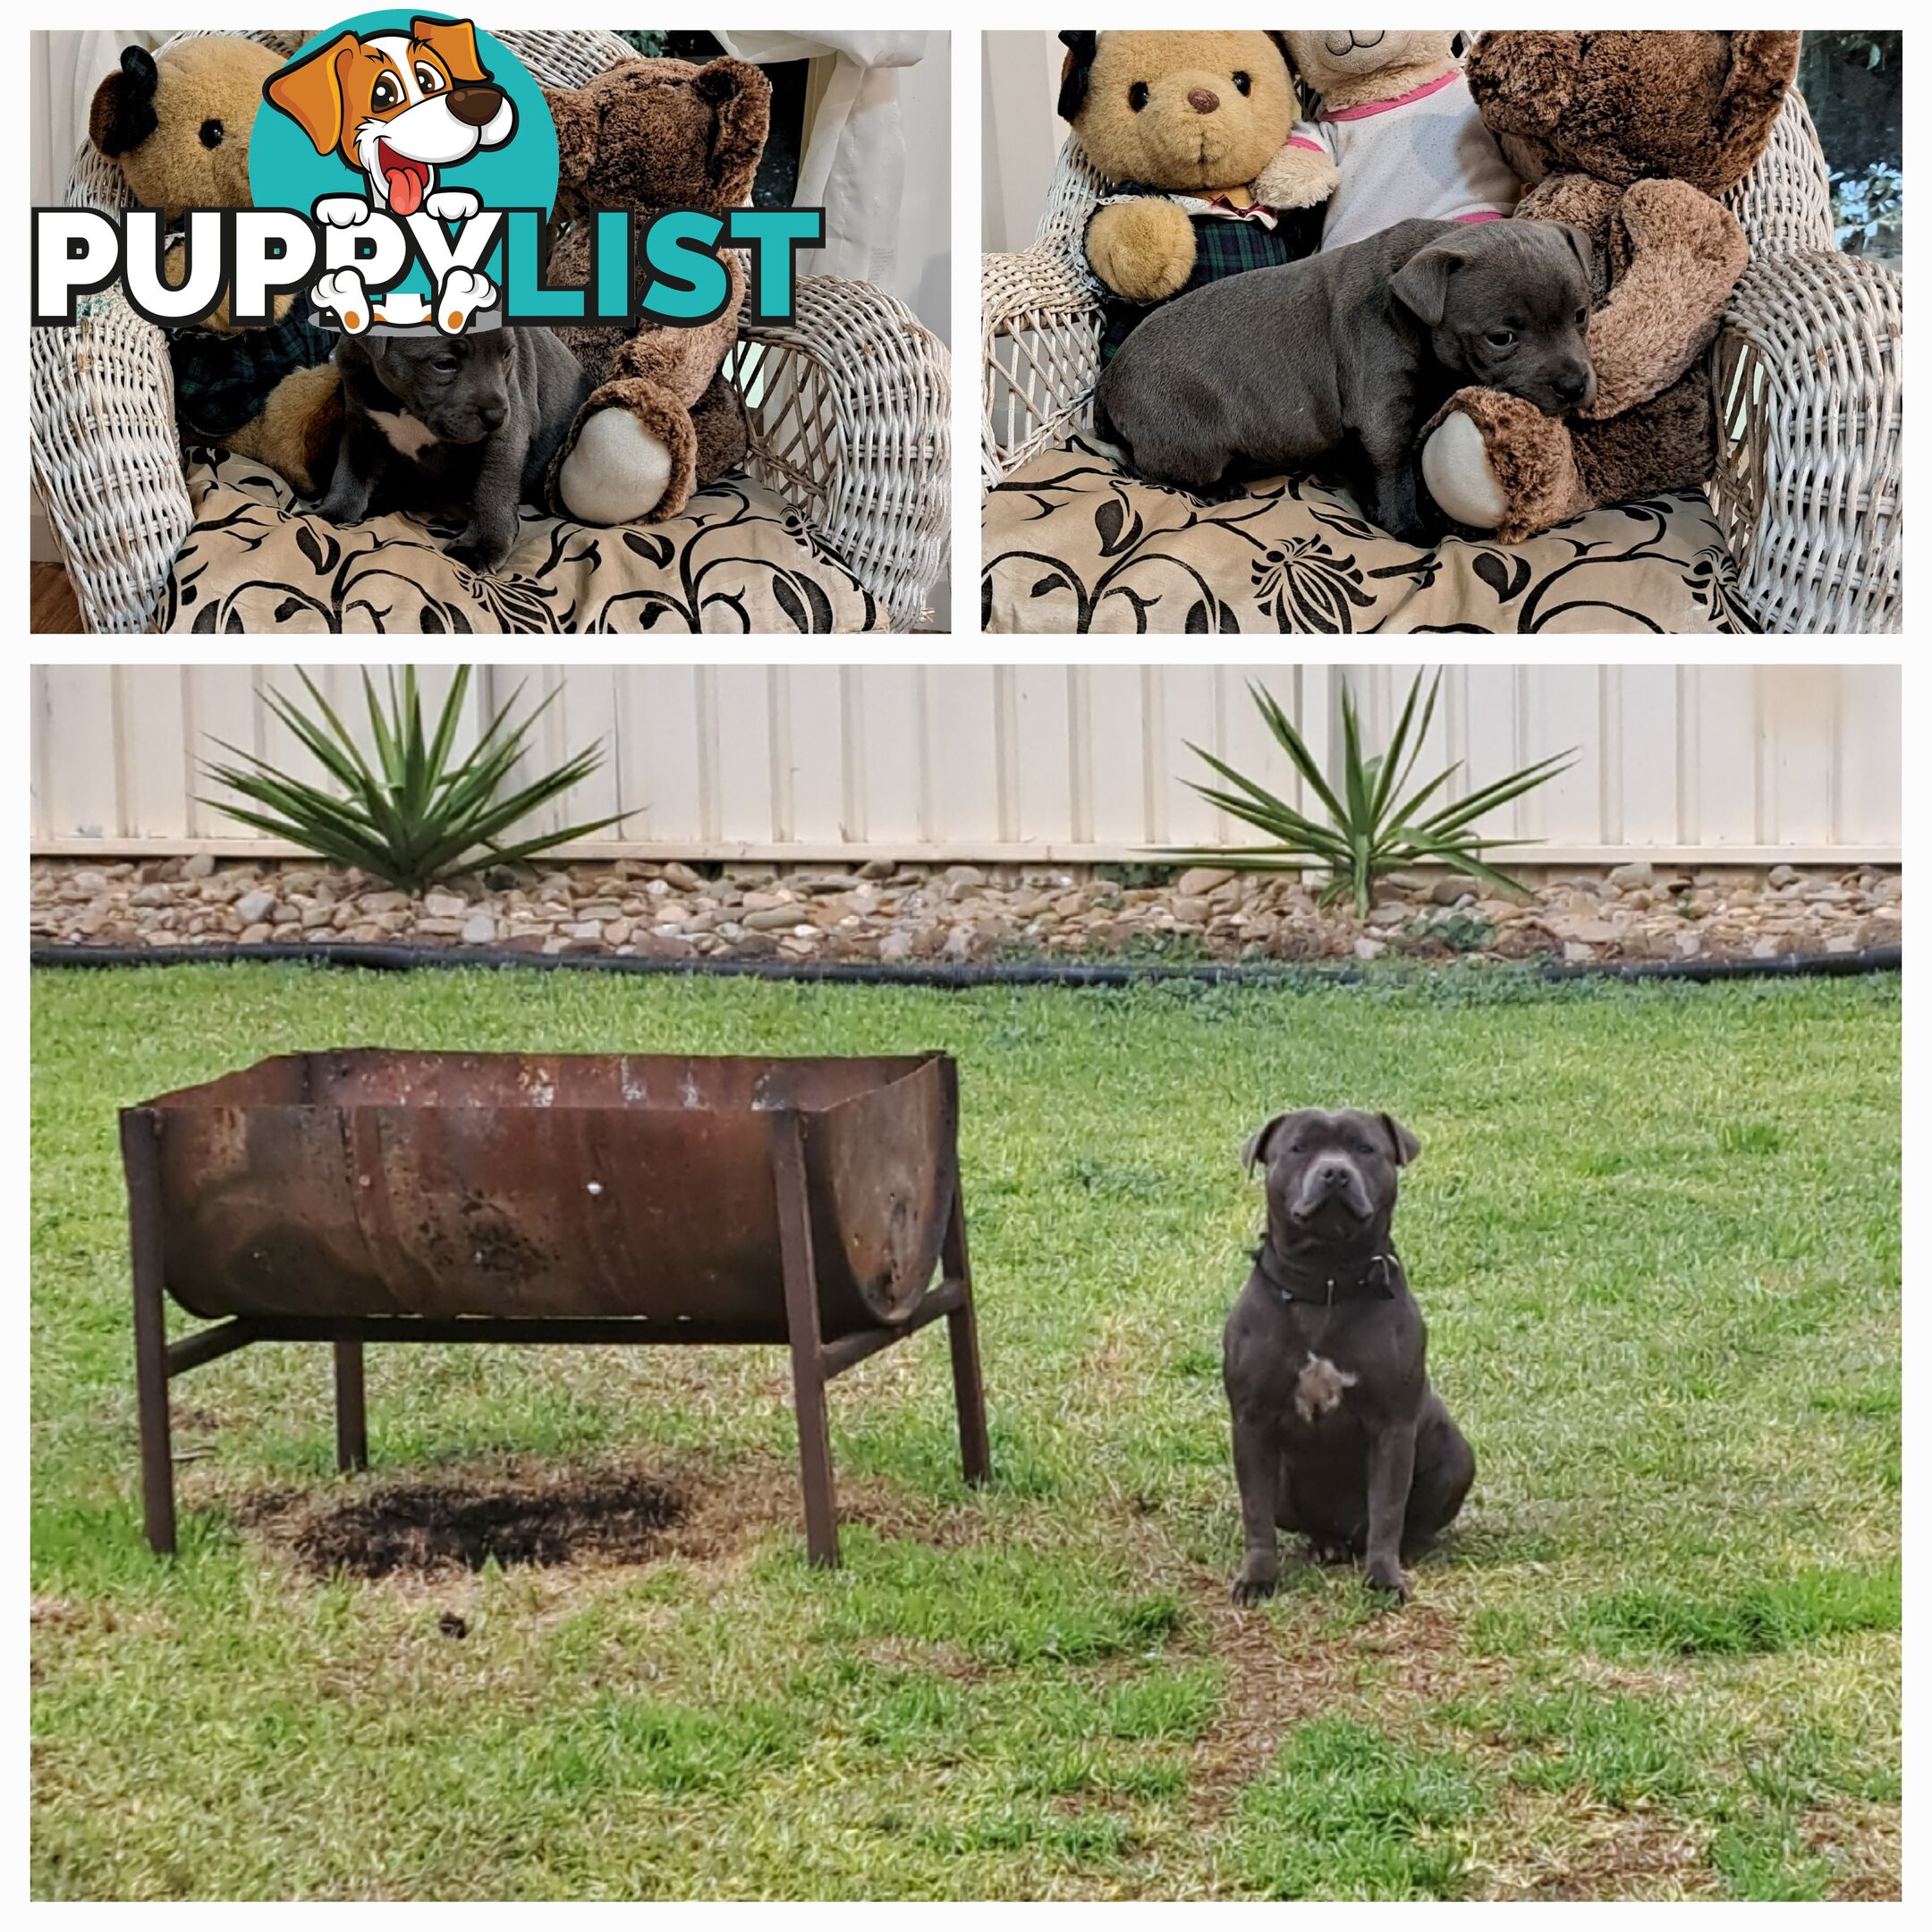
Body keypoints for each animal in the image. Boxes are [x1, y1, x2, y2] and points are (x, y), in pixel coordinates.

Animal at [320, 326, 590, 572]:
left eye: (507, 353)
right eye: (444, 363)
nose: (496, 416)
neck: (406, 407)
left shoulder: (508, 430)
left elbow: (492, 486)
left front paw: (481, 545)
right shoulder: (360, 424)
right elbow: (350, 470)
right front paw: (333, 512)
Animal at [1097, 221, 1591, 548]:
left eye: (1581, 315)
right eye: (1501, 338)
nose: (1574, 385)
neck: (1407, 311)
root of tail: (1107, 382)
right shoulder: (1383, 413)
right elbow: (1396, 470)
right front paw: (1408, 527)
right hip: (1192, 442)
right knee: (1152, 469)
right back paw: (1218, 488)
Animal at [1221, 1113, 1476, 1607]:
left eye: (1364, 1148)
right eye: (1298, 1148)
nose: (1335, 1172)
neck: (1328, 1279)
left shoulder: (1392, 1425)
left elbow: (1389, 1509)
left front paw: (1384, 1578)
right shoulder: (1252, 1422)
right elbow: (1256, 1511)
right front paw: (1257, 1578)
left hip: (1456, 1456)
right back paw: (1325, 1545)